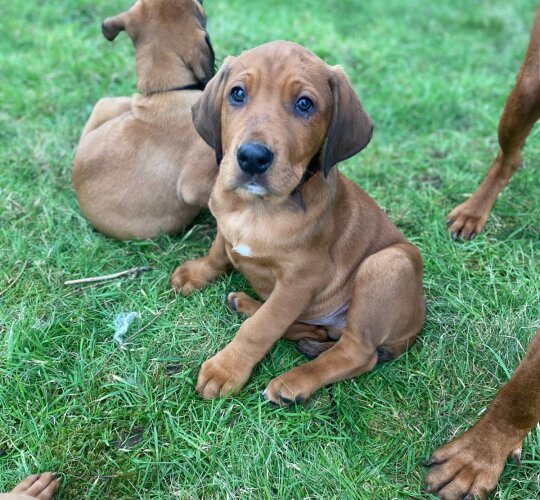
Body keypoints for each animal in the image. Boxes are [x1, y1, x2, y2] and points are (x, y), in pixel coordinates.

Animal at [171, 40, 424, 406]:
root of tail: (416, 325)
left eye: (305, 104)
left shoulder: (300, 281)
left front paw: (226, 369)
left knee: (356, 351)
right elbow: (219, 251)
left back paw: (294, 382)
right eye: (237, 94)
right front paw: (196, 273)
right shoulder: (225, 225)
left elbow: (261, 328)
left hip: (388, 264)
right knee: (309, 327)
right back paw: (247, 304)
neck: (256, 208)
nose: (252, 157)